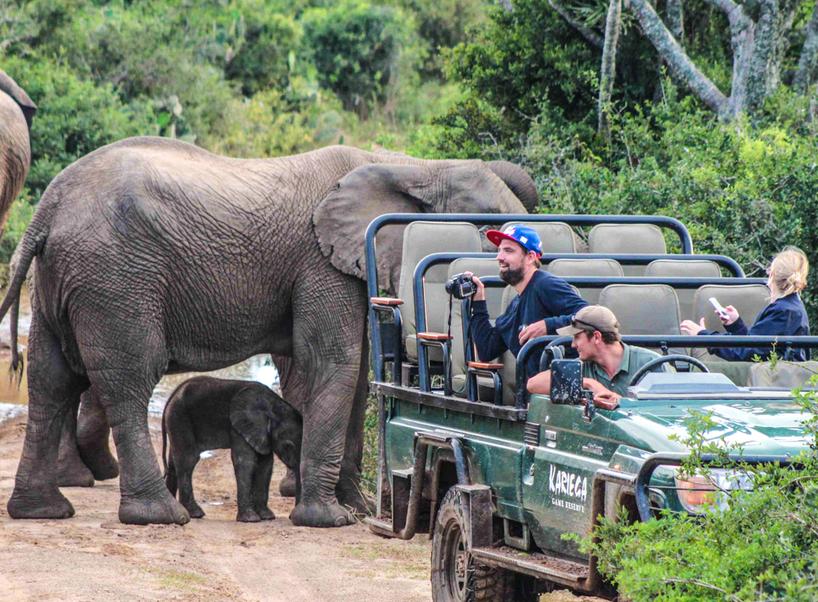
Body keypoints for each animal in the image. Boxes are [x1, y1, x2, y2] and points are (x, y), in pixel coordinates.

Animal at [161, 376, 302, 520]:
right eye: (287, 446)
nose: (290, 517)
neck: (273, 406)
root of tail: (172, 396)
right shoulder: (239, 426)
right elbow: (245, 463)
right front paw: (251, 519)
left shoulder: (262, 433)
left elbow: (266, 465)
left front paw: (267, 517)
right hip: (180, 418)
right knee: (188, 460)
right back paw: (196, 514)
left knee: (174, 464)